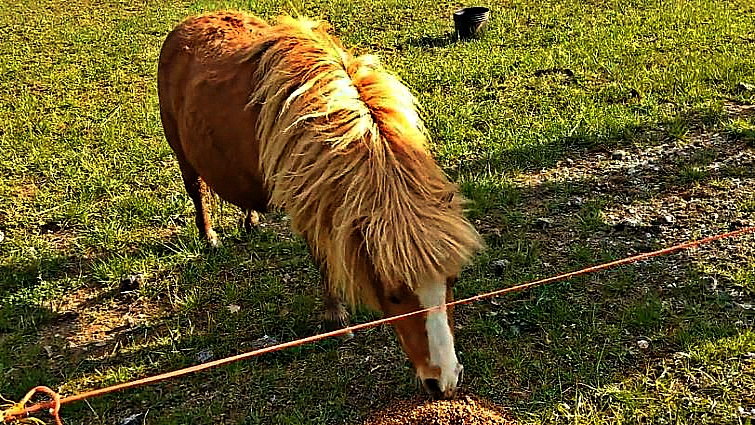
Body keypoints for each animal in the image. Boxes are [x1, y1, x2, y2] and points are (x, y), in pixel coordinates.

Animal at [157, 11, 484, 399]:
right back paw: (209, 237)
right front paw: (336, 318)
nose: (444, 382)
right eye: (394, 296)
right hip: (181, 154)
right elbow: (324, 260)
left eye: (452, 280)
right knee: (197, 193)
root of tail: (184, 27)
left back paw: (250, 221)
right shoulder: (310, 206)